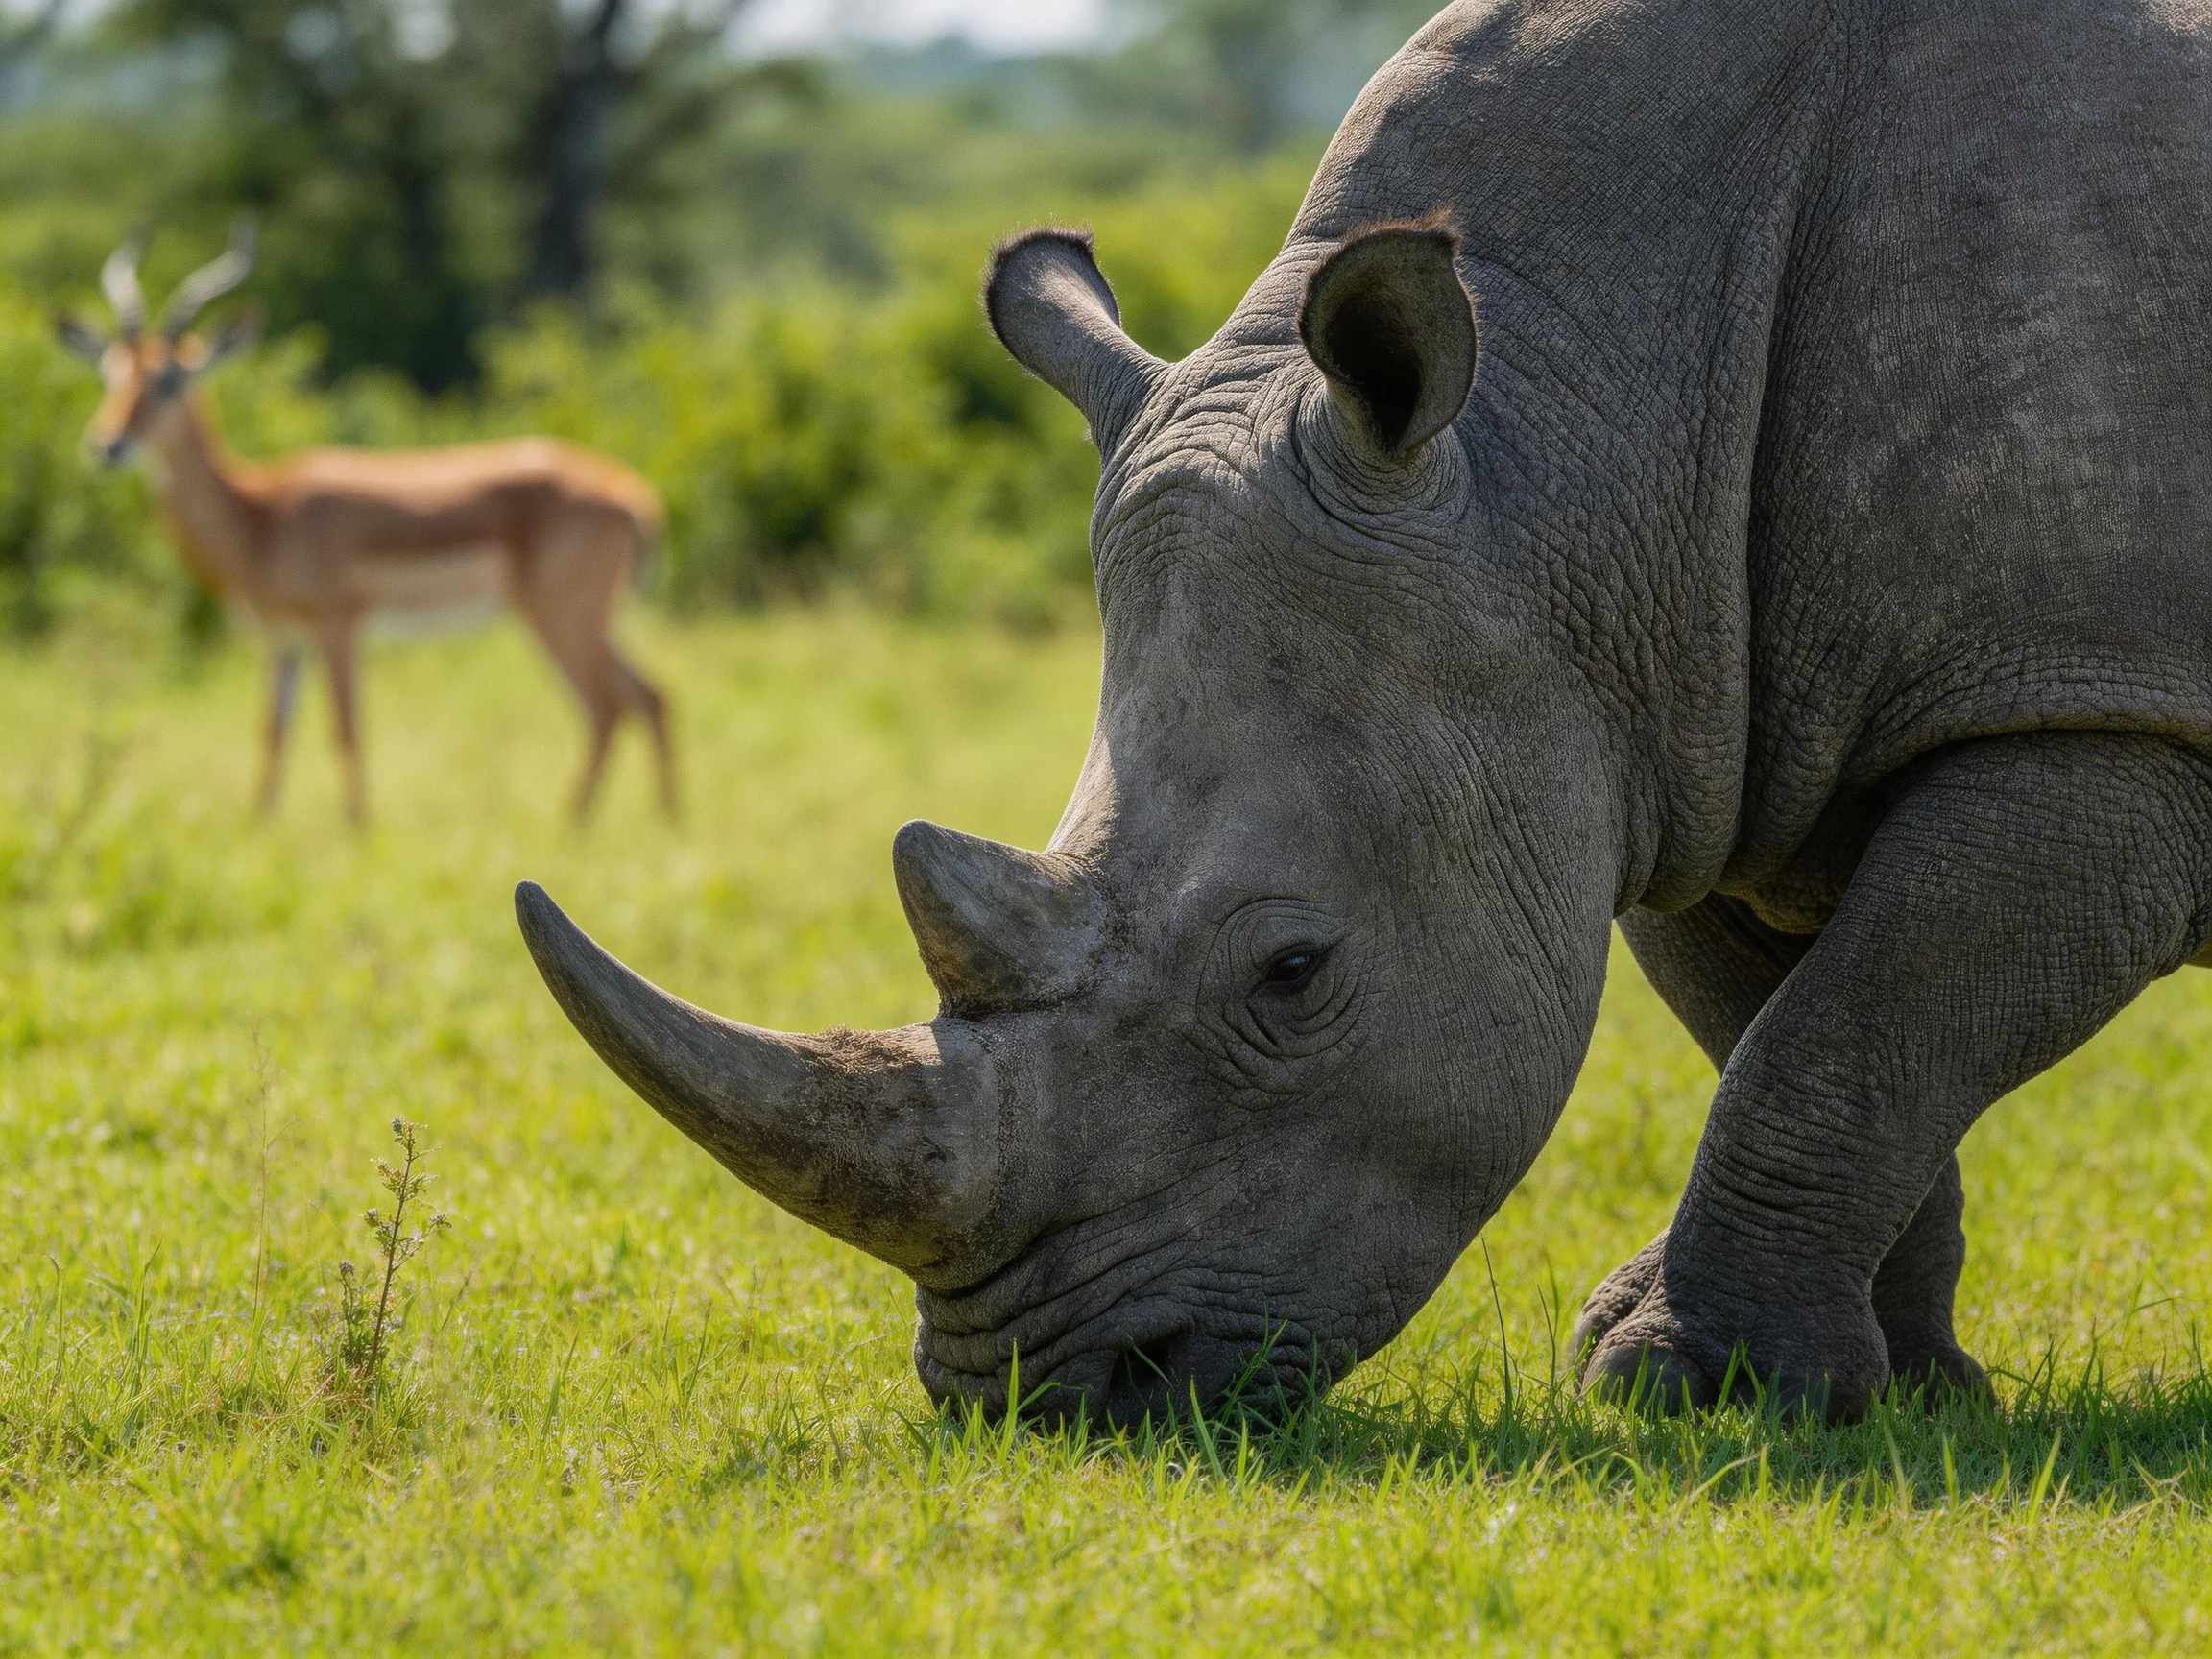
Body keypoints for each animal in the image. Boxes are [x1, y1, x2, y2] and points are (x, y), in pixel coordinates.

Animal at [53, 221, 675, 823]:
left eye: (170, 380)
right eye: (110, 376)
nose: (107, 445)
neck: (260, 515)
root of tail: (637, 498)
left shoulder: (340, 626)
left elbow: (345, 729)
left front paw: (358, 827)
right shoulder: (283, 640)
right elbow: (273, 733)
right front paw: (258, 824)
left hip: (559, 617)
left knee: (609, 706)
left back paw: (573, 824)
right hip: (589, 620)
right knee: (651, 696)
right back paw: (666, 818)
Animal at [517, 0, 2212, 1423]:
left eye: (1293, 972)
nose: (1041, 1400)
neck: (1576, 444)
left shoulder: (2100, 713)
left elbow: (1848, 1037)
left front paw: (1687, 1389)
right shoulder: (1691, 735)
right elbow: (1805, 1030)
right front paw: (1876, 1394)